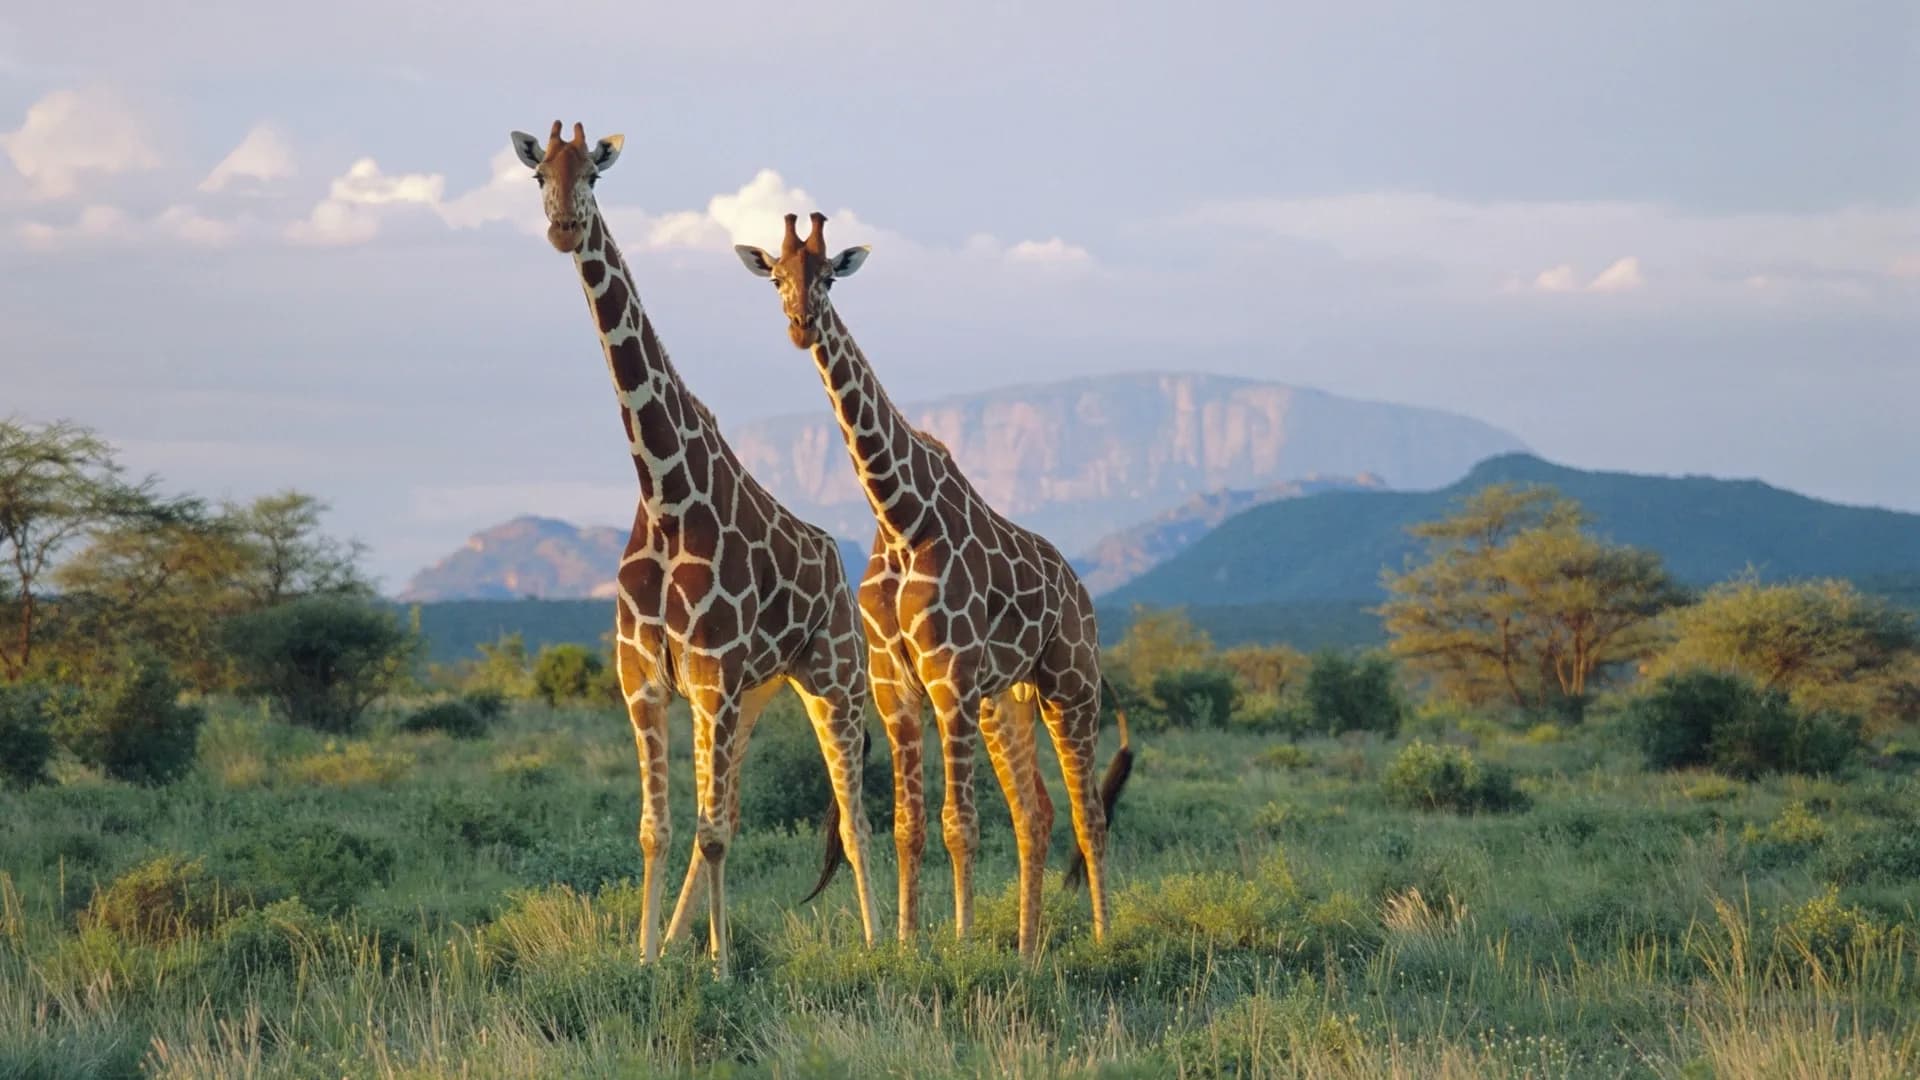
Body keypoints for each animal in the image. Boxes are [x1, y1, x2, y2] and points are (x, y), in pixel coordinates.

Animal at [509, 124, 878, 976]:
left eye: (595, 175)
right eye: (540, 174)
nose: (563, 228)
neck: (666, 494)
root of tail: (836, 561)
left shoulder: (712, 678)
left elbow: (708, 833)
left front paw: (720, 969)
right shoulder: (647, 678)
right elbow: (662, 829)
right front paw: (649, 961)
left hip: (832, 680)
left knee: (853, 817)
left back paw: (890, 943)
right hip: (755, 696)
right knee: (735, 812)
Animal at [735, 213, 1133, 957]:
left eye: (828, 274)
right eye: (776, 276)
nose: (801, 324)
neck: (898, 515)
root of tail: (1080, 590)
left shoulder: (949, 681)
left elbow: (959, 824)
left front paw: (963, 941)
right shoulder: (897, 688)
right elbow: (909, 825)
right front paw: (906, 943)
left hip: (1070, 686)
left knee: (1088, 813)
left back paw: (1098, 937)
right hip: (1006, 700)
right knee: (1035, 812)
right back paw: (1028, 951)